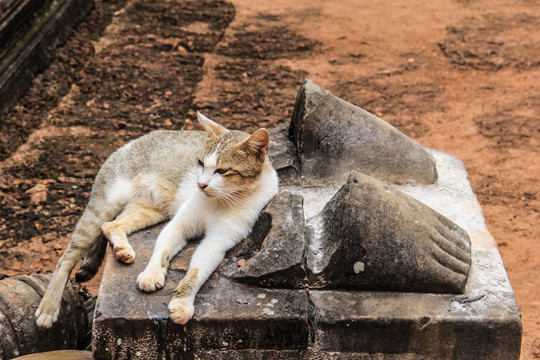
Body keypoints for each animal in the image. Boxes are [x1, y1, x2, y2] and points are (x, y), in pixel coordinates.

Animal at [34, 113, 278, 330]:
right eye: (200, 163)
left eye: (223, 170)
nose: (201, 184)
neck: (221, 201)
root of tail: (134, 141)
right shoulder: (178, 225)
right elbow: (161, 251)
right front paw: (152, 275)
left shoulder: (218, 242)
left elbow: (196, 272)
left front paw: (182, 302)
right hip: (104, 207)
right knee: (67, 257)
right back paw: (48, 308)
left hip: (151, 209)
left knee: (110, 225)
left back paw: (122, 249)